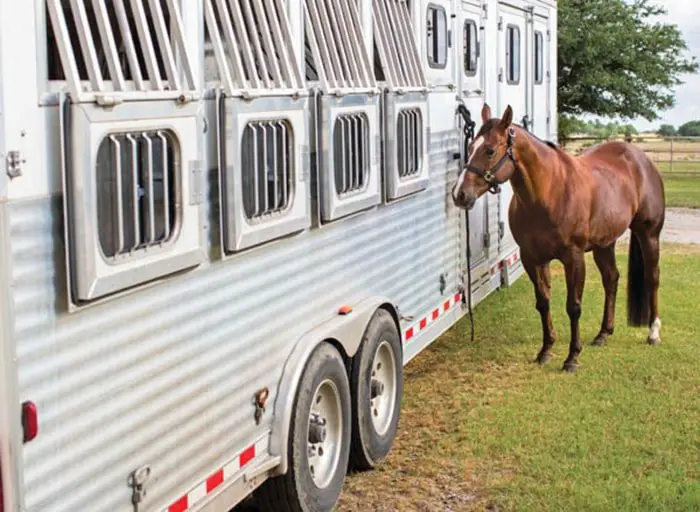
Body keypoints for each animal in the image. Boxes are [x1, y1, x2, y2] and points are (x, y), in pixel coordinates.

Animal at [452, 103, 664, 372]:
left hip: (649, 235)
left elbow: (573, 307)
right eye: (469, 148)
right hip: (604, 244)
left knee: (652, 278)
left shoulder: (573, 258)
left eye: (489, 150)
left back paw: (653, 333)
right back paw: (603, 333)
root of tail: (641, 159)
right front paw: (546, 350)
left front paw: (572, 357)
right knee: (611, 279)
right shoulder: (532, 258)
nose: (459, 194)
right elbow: (543, 302)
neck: (550, 192)